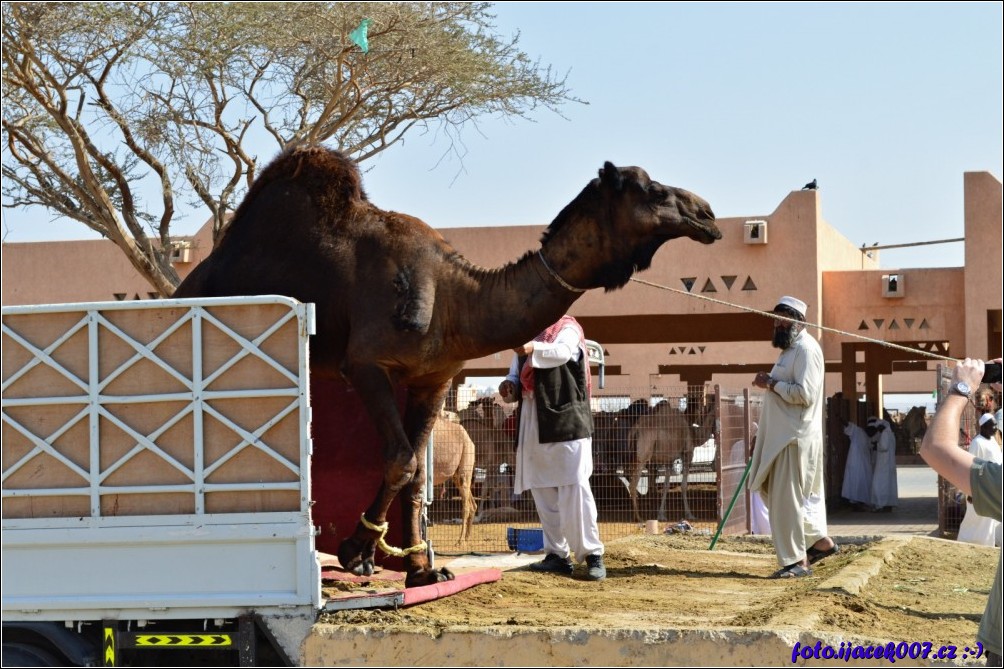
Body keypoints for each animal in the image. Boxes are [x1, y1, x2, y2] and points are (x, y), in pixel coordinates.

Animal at [174, 145, 722, 582]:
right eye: (651, 190)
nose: (708, 213)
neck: (453, 297)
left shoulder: (432, 377)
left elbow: (418, 472)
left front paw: (420, 569)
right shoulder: (367, 364)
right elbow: (400, 459)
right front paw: (354, 550)